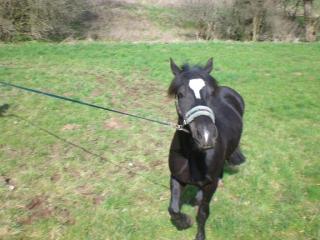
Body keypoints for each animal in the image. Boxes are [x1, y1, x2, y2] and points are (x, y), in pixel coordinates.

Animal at [168, 58, 245, 240]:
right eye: (180, 95)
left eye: (210, 94)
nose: (206, 135)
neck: (191, 154)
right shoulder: (176, 177)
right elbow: (173, 209)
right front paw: (184, 222)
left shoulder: (210, 185)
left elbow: (203, 213)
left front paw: (200, 235)